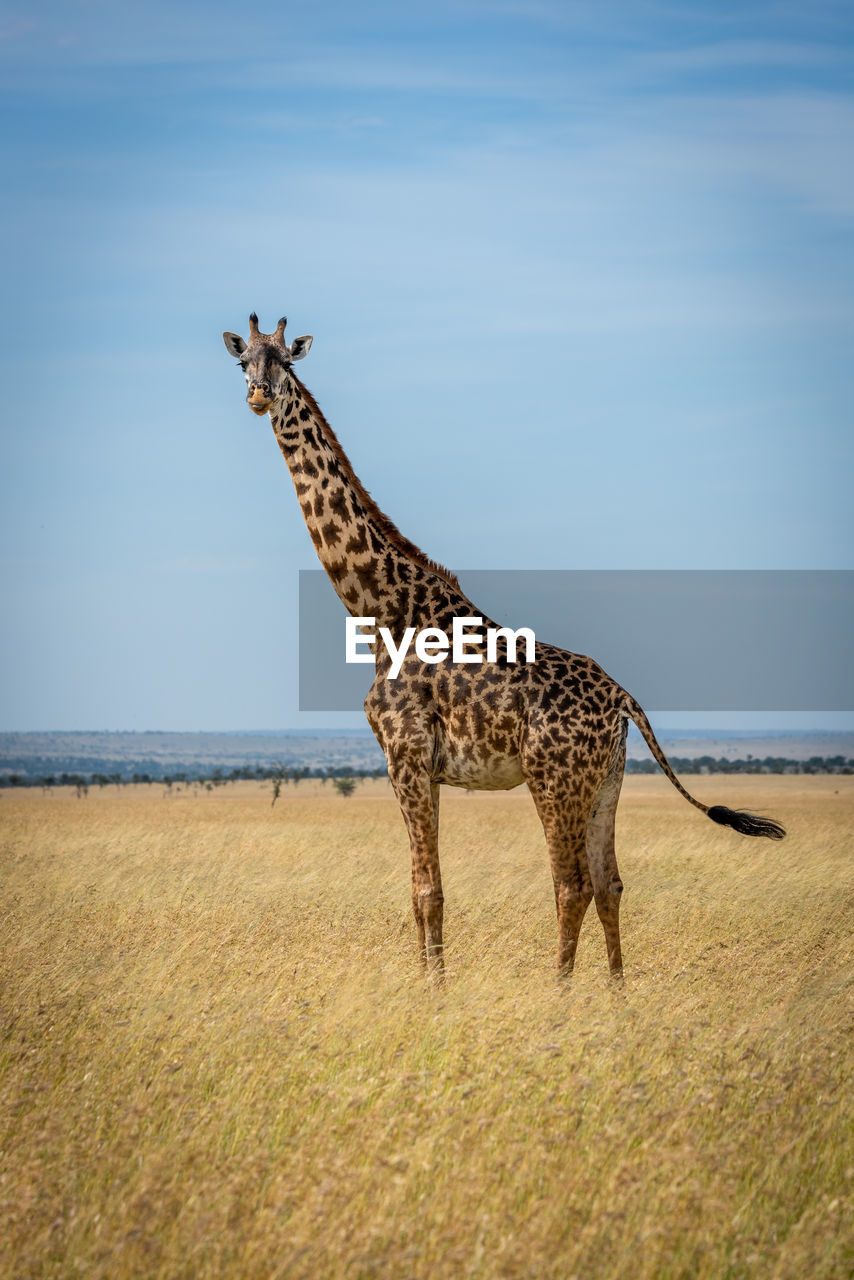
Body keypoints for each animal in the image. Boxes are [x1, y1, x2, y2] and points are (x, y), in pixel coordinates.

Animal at [222, 314, 788, 972]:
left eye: (285, 362)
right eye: (243, 362)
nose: (258, 395)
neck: (380, 617)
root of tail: (624, 699)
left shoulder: (405, 755)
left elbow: (427, 889)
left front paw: (433, 987)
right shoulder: (419, 766)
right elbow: (421, 890)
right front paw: (429, 980)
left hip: (555, 778)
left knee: (571, 884)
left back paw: (560, 990)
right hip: (607, 780)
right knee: (610, 882)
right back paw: (616, 990)